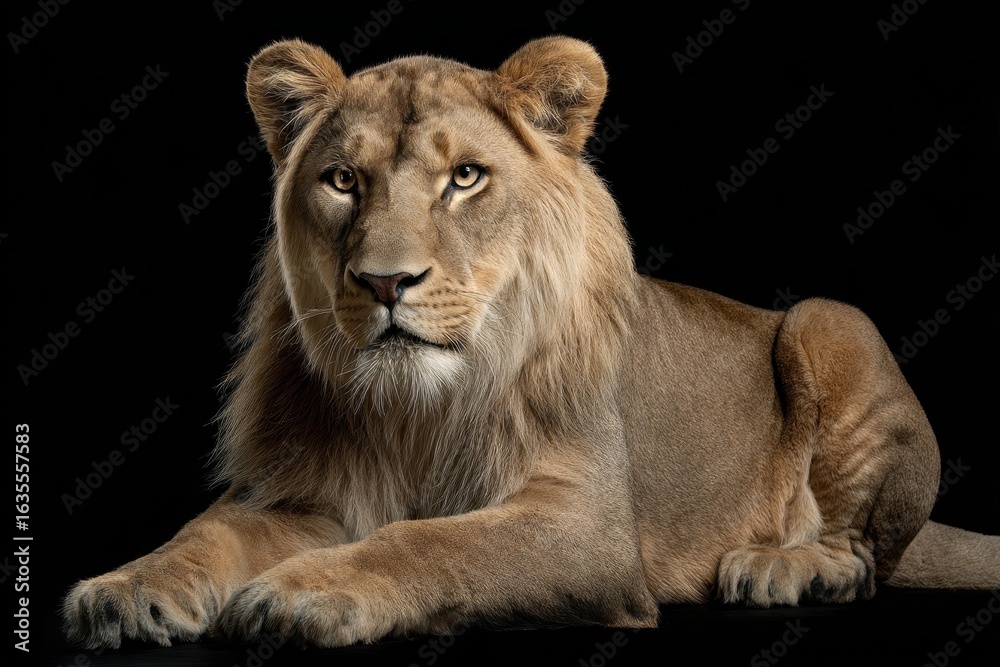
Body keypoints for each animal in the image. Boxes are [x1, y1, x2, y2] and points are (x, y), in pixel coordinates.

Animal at [62, 36, 999, 649]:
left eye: (465, 177)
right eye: (342, 180)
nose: (385, 283)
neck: (416, 411)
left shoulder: (587, 528)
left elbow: (432, 539)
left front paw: (303, 592)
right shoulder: (304, 494)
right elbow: (205, 533)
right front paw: (125, 589)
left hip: (825, 322)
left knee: (863, 554)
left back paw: (778, 567)